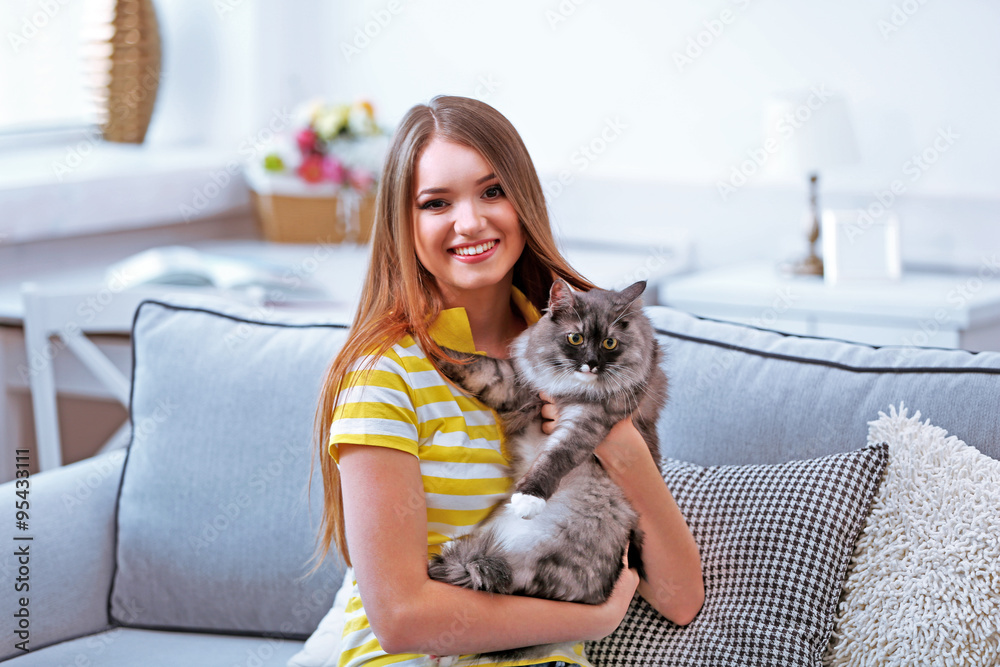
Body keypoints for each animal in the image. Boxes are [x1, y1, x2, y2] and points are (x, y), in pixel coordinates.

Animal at [428, 280, 668, 664]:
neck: (568, 388)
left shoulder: (588, 422)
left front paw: (528, 499)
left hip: (539, 561)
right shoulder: (517, 383)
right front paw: (425, 343)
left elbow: (555, 458)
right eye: (575, 338)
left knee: (500, 583)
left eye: (609, 343)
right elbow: (473, 365)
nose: (590, 364)